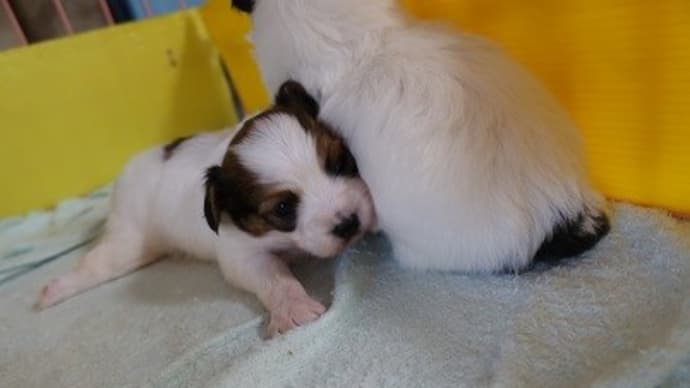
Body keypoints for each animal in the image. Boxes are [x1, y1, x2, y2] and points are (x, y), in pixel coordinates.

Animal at [36, 80, 376, 334]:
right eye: (282, 208)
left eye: (340, 163)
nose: (349, 223)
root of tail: (127, 171)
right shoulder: (241, 254)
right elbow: (274, 278)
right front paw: (294, 308)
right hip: (129, 240)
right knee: (97, 265)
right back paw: (55, 290)